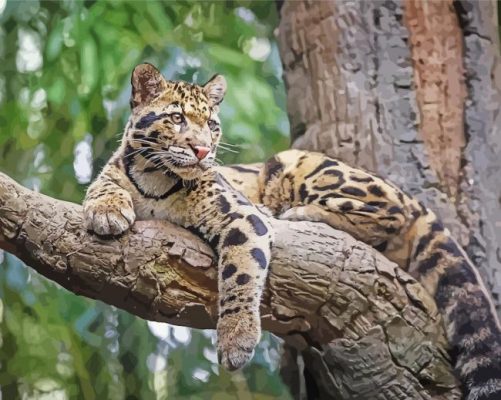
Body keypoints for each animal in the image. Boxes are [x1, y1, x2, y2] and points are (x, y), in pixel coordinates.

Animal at [84, 64, 498, 398]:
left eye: (212, 126)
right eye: (176, 118)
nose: (202, 151)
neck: (155, 177)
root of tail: (409, 195)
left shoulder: (241, 216)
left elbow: (240, 275)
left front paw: (236, 339)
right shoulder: (114, 172)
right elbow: (102, 186)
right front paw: (106, 211)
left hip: (297, 164)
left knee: (390, 214)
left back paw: (299, 212)